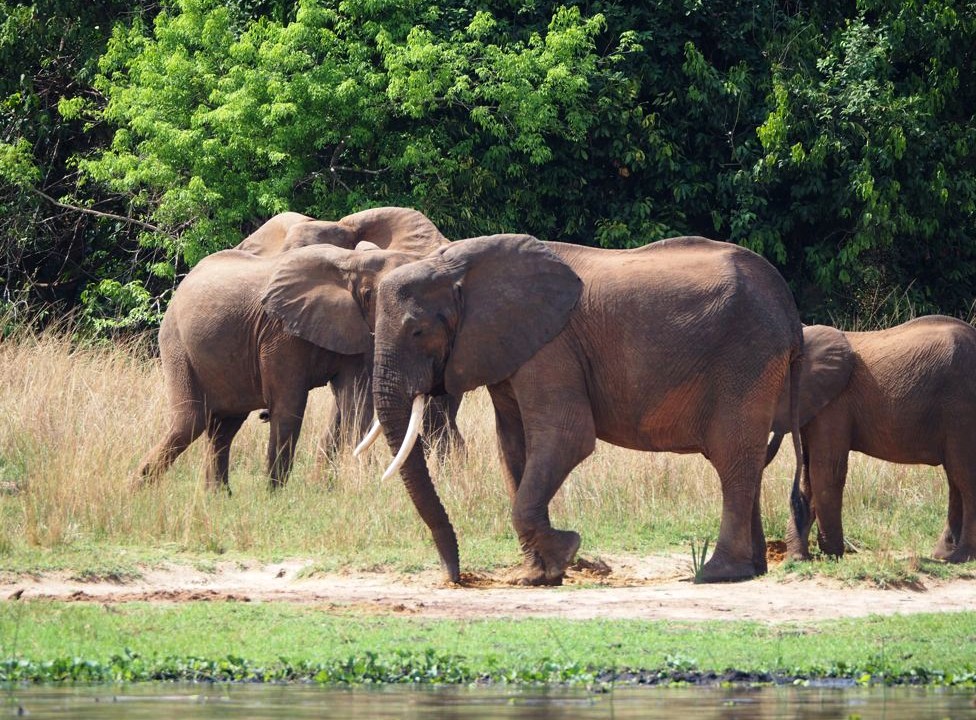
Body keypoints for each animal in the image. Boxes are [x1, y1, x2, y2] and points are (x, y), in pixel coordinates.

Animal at [138, 208, 462, 491]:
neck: (350, 263)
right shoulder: (279, 330)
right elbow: (291, 405)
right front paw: (276, 495)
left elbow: (356, 402)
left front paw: (359, 485)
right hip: (177, 345)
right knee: (193, 421)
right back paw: (141, 489)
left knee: (222, 427)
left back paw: (215, 497)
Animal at [358, 233, 803, 585]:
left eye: (418, 331)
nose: (456, 577)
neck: (456, 265)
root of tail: (788, 306)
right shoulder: (509, 351)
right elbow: (513, 448)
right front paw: (536, 575)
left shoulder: (551, 350)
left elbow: (566, 438)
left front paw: (565, 553)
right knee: (747, 458)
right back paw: (754, 569)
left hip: (746, 358)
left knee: (732, 456)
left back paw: (716, 573)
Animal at [766, 317, 976, 564]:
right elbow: (809, 474)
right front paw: (798, 558)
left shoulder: (835, 404)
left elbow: (825, 470)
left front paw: (832, 554)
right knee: (955, 476)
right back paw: (943, 555)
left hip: (963, 404)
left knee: (964, 476)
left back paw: (961, 557)